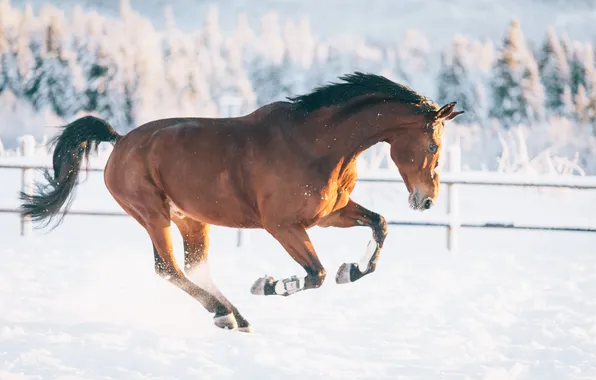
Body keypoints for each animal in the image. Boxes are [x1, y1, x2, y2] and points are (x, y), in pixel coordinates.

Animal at [18, 71, 464, 332]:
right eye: (432, 145)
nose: (426, 201)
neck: (317, 144)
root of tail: (121, 140)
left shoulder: (329, 213)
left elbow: (379, 225)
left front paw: (351, 270)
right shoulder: (282, 225)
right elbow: (314, 274)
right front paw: (268, 285)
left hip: (191, 220)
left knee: (194, 268)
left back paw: (234, 315)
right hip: (153, 215)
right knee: (168, 269)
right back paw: (224, 314)